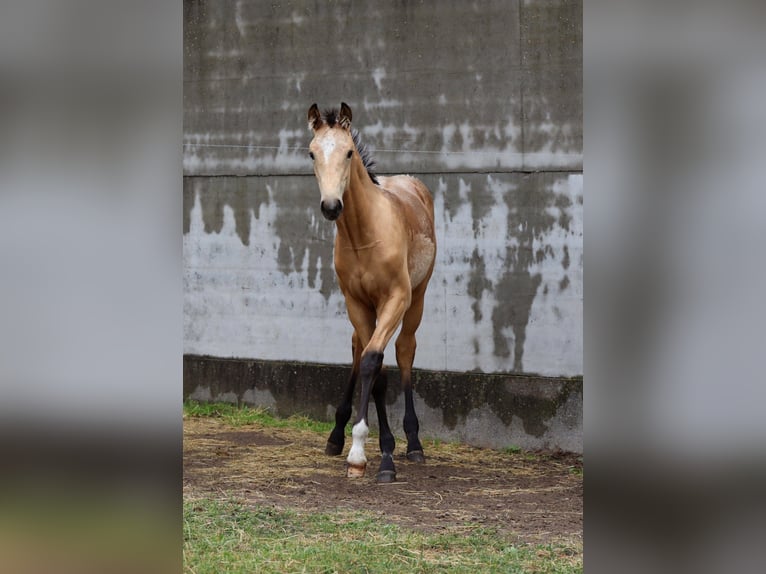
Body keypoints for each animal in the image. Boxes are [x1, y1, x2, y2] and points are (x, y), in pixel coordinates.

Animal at [307, 102, 436, 483]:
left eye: (349, 152)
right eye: (312, 153)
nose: (331, 206)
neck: (365, 235)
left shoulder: (396, 298)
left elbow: (374, 360)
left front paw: (374, 455)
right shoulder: (356, 303)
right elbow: (372, 367)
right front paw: (370, 450)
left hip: (418, 296)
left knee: (405, 350)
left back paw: (414, 443)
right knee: (357, 348)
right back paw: (336, 436)